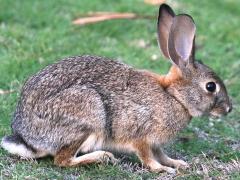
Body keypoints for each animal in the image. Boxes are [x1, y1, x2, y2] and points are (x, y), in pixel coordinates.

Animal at [0, 3, 232, 173]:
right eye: (211, 86)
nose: (229, 109)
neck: (175, 97)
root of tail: (27, 138)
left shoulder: (156, 142)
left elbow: (161, 153)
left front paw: (177, 163)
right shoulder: (140, 134)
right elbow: (147, 156)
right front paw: (162, 169)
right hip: (88, 114)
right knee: (62, 159)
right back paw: (103, 157)